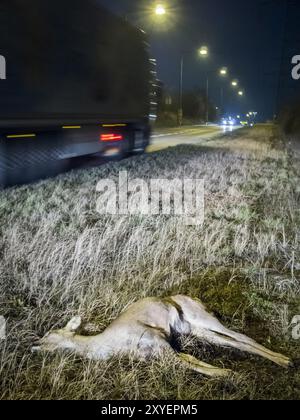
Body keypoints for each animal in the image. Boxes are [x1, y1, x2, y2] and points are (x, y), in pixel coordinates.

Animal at [32, 296, 290, 378]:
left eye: (50, 333)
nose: (34, 345)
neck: (110, 344)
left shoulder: (159, 342)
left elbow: (192, 364)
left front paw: (227, 374)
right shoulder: (162, 351)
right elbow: (191, 362)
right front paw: (227, 372)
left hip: (204, 319)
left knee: (242, 336)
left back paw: (285, 360)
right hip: (196, 330)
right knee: (232, 341)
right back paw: (283, 361)